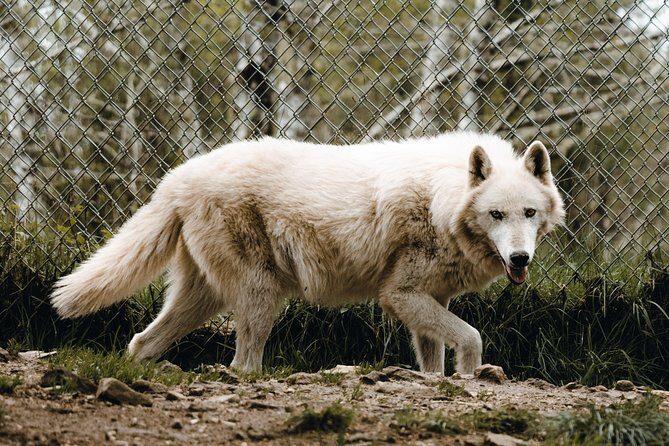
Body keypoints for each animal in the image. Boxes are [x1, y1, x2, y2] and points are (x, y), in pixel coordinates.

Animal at [51, 132, 564, 374]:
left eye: (529, 213)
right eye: (496, 214)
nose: (520, 259)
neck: (442, 199)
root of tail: (175, 178)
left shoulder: (431, 300)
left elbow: (433, 360)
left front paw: (440, 382)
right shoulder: (399, 295)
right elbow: (472, 337)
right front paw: (472, 378)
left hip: (203, 300)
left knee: (141, 342)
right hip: (261, 296)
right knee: (243, 364)